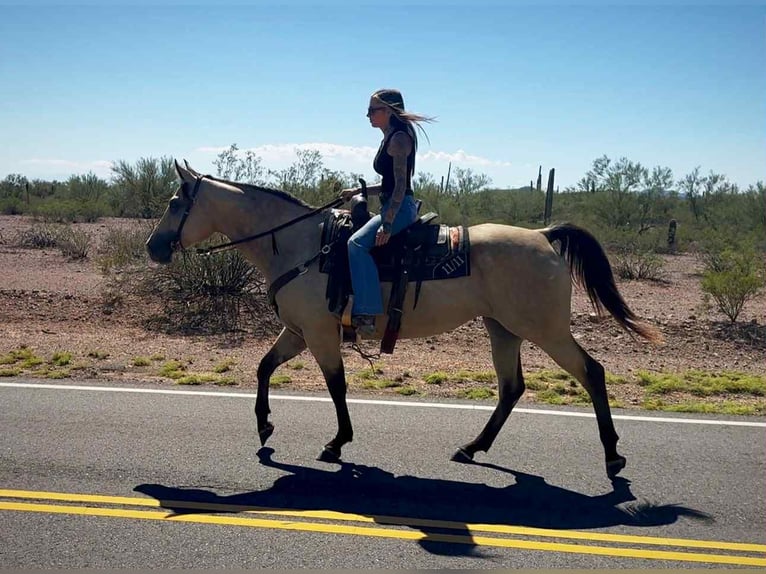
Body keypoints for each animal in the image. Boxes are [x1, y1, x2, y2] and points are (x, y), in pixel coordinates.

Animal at [146, 160, 662, 478]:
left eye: (174, 203)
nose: (154, 247)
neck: (301, 245)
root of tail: (543, 234)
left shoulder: (319, 333)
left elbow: (336, 386)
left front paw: (337, 442)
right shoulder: (297, 331)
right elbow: (264, 367)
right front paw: (264, 428)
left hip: (546, 330)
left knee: (591, 372)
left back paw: (612, 455)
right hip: (504, 330)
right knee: (511, 388)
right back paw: (472, 448)